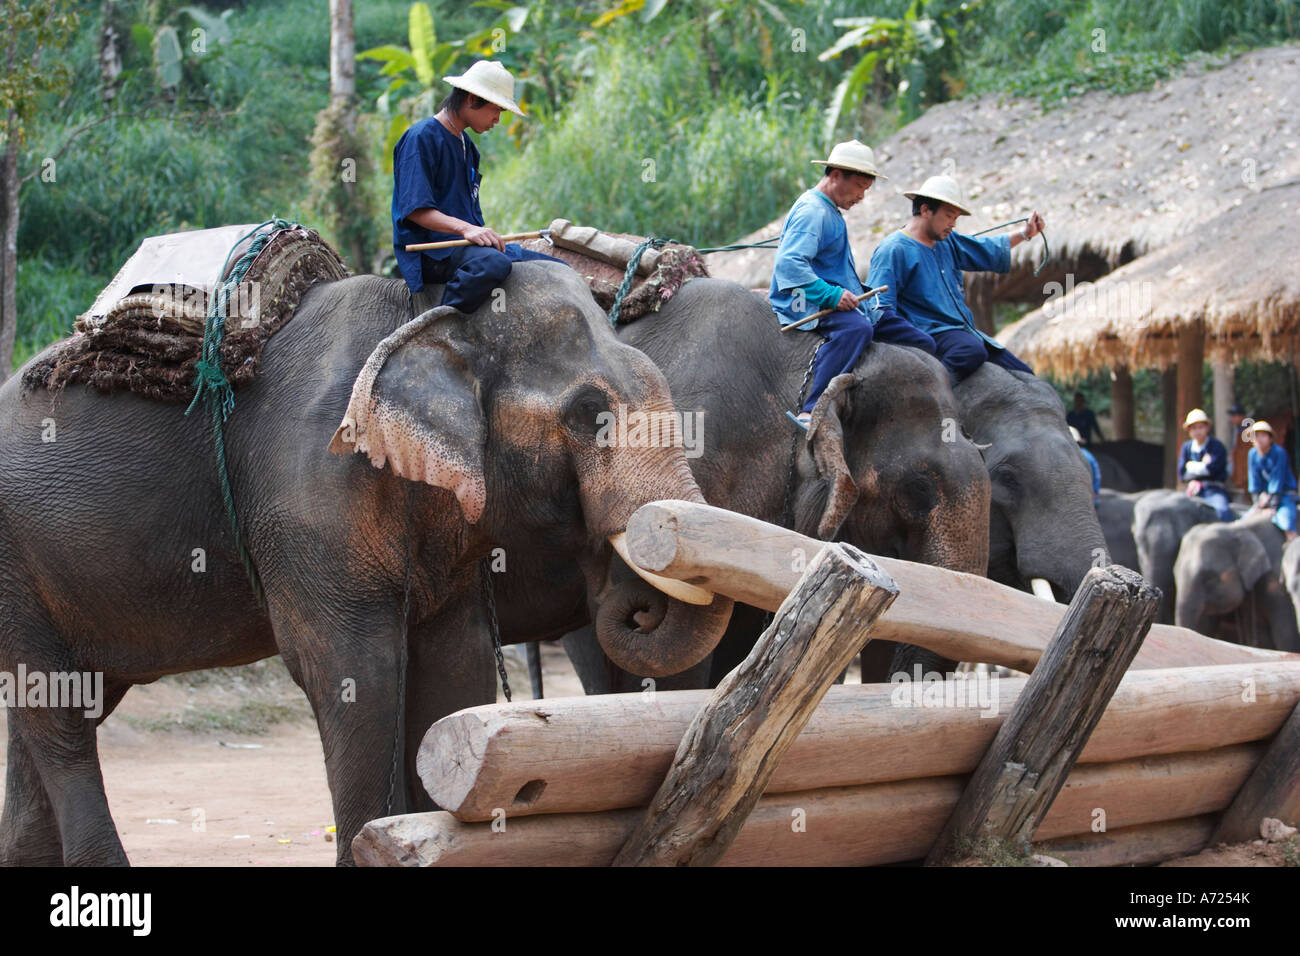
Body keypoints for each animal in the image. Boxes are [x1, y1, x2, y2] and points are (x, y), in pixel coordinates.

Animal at [0, 262, 734, 865]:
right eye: (588, 413)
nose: (634, 604)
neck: (433, 315)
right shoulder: (311, 496)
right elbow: (355, 673)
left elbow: (455, 664)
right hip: (13, 565)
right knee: (56, 710)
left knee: (67, 702)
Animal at [1173, 513, 1300, 651]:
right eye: (1175, 575)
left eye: (1210, 579)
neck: (1237, 528)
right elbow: (1261, 637)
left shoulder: (1277, 578)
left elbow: (1286, 633)